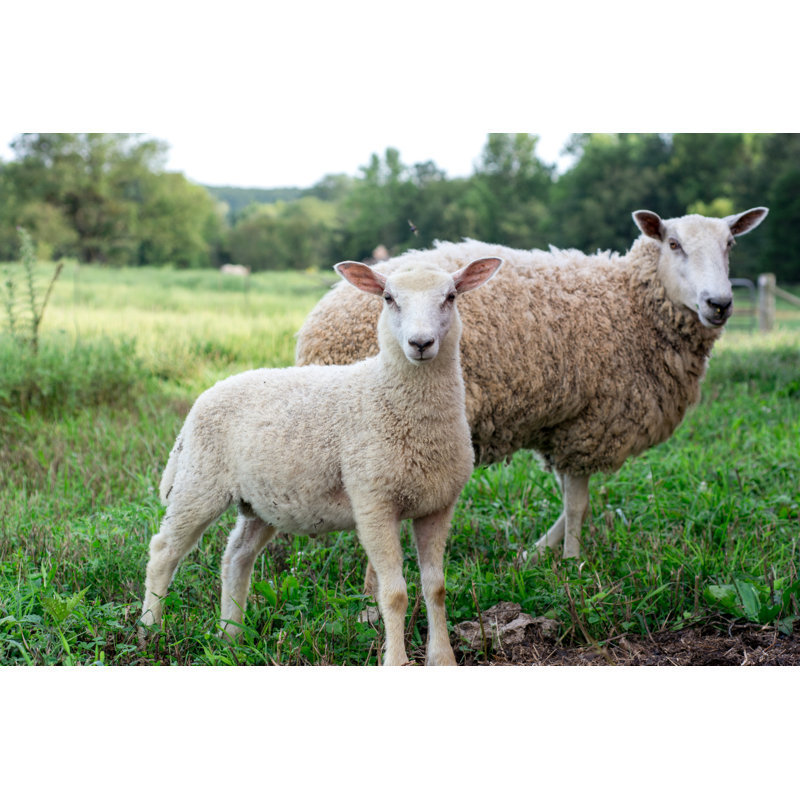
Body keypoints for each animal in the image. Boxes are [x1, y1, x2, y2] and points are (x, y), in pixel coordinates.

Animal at [140, 255, 503, 666]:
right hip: (199, 482)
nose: (421, 343)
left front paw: (442, 659)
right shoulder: (373, 502)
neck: (387, 395)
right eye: (389, 298)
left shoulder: (438, 506)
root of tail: (205, 396)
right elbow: (394, 593)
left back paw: (231, 636)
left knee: (236, 556)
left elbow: (436, 587)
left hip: (262, 501)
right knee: (163, 551)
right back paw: (150, 629)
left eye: (451, 297)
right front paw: (396, 661)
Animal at [295, 208, 768, 573]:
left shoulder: (564, 424)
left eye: (730, 244)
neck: (629, 304)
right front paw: (573, 563)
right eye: (673, 244)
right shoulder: (592, 423)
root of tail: (315, 330)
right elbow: (577, 503)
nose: (720, 303)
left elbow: (569, 499)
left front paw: (536, 554)